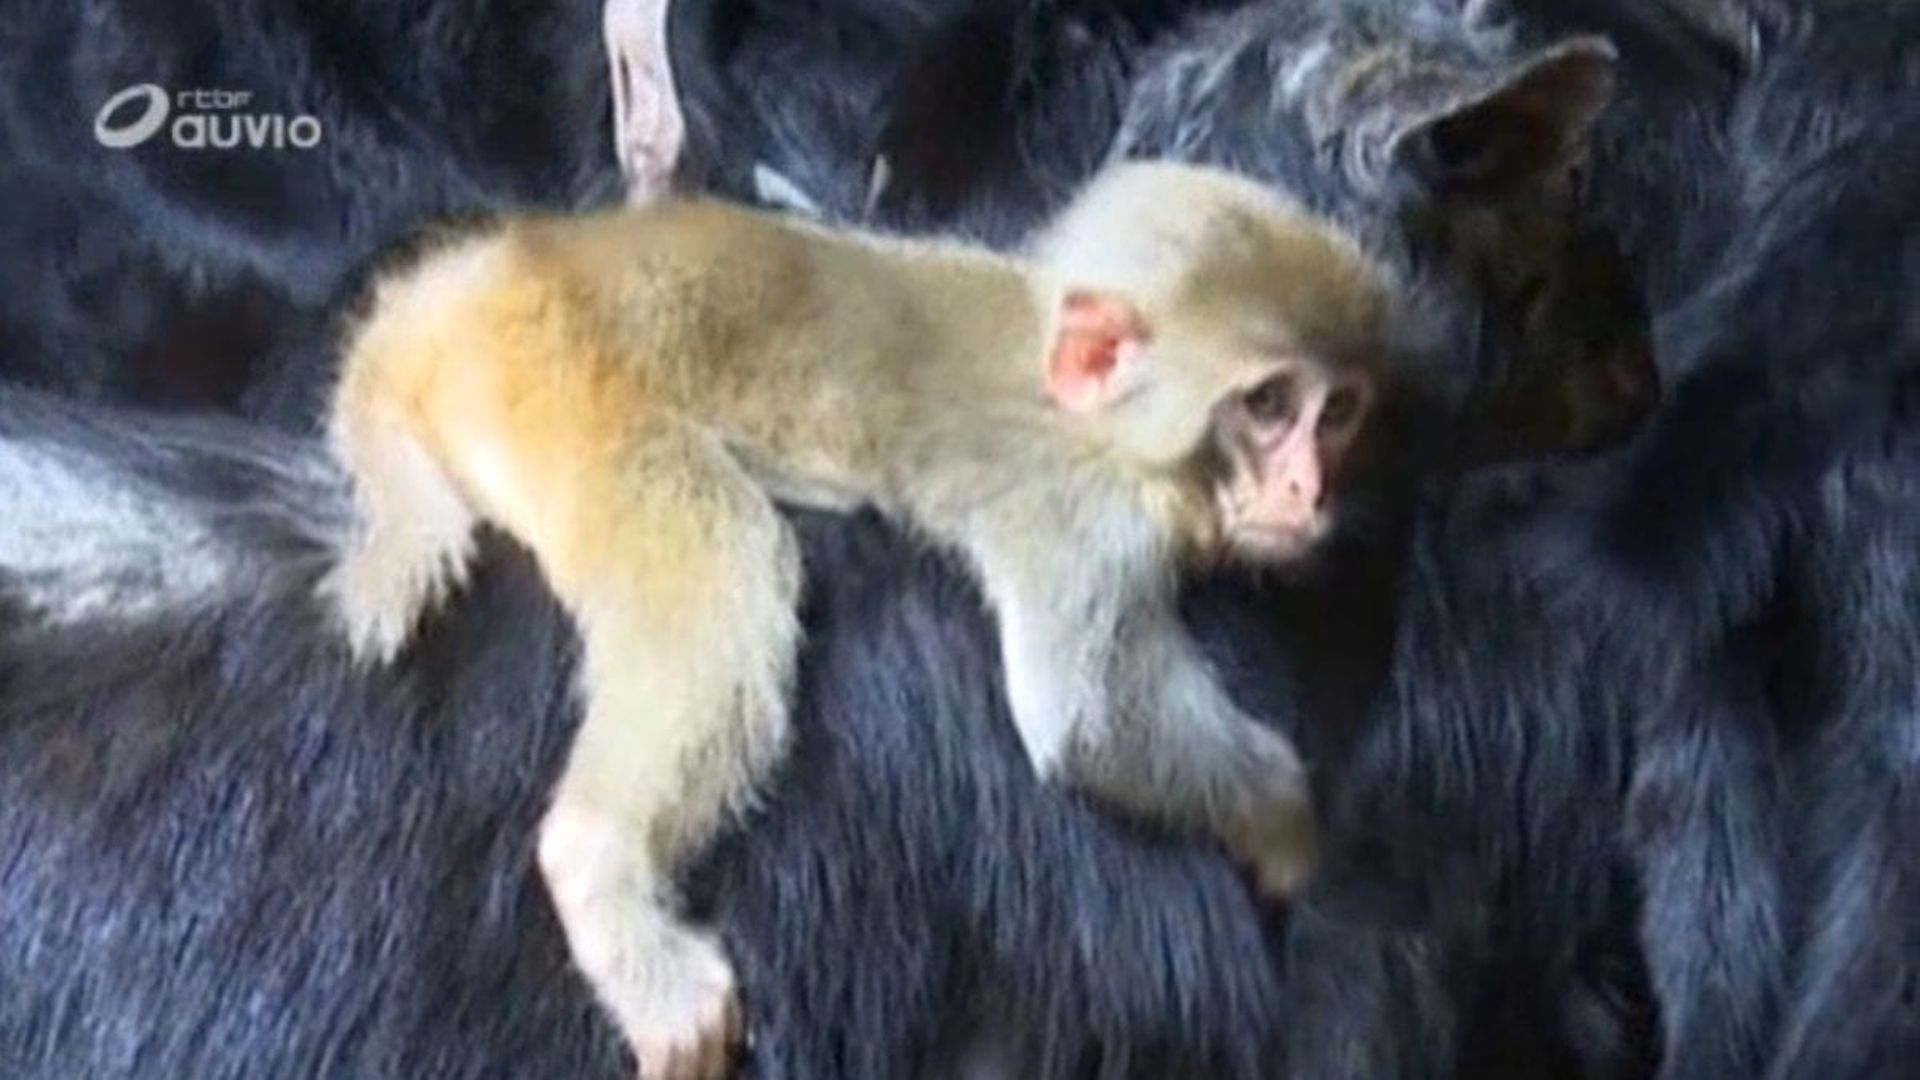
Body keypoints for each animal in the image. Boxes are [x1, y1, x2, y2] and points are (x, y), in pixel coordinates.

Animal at [321, 160, 1390, 1079]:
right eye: (1268, 405)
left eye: (1336, 412)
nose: (1309, 489)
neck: (1093, 416)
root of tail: (477, 302)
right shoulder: (1079, 515)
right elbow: (1090, 720)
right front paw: (1285, 821)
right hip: (564, 395)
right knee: (726, 562)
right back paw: (600, 867)